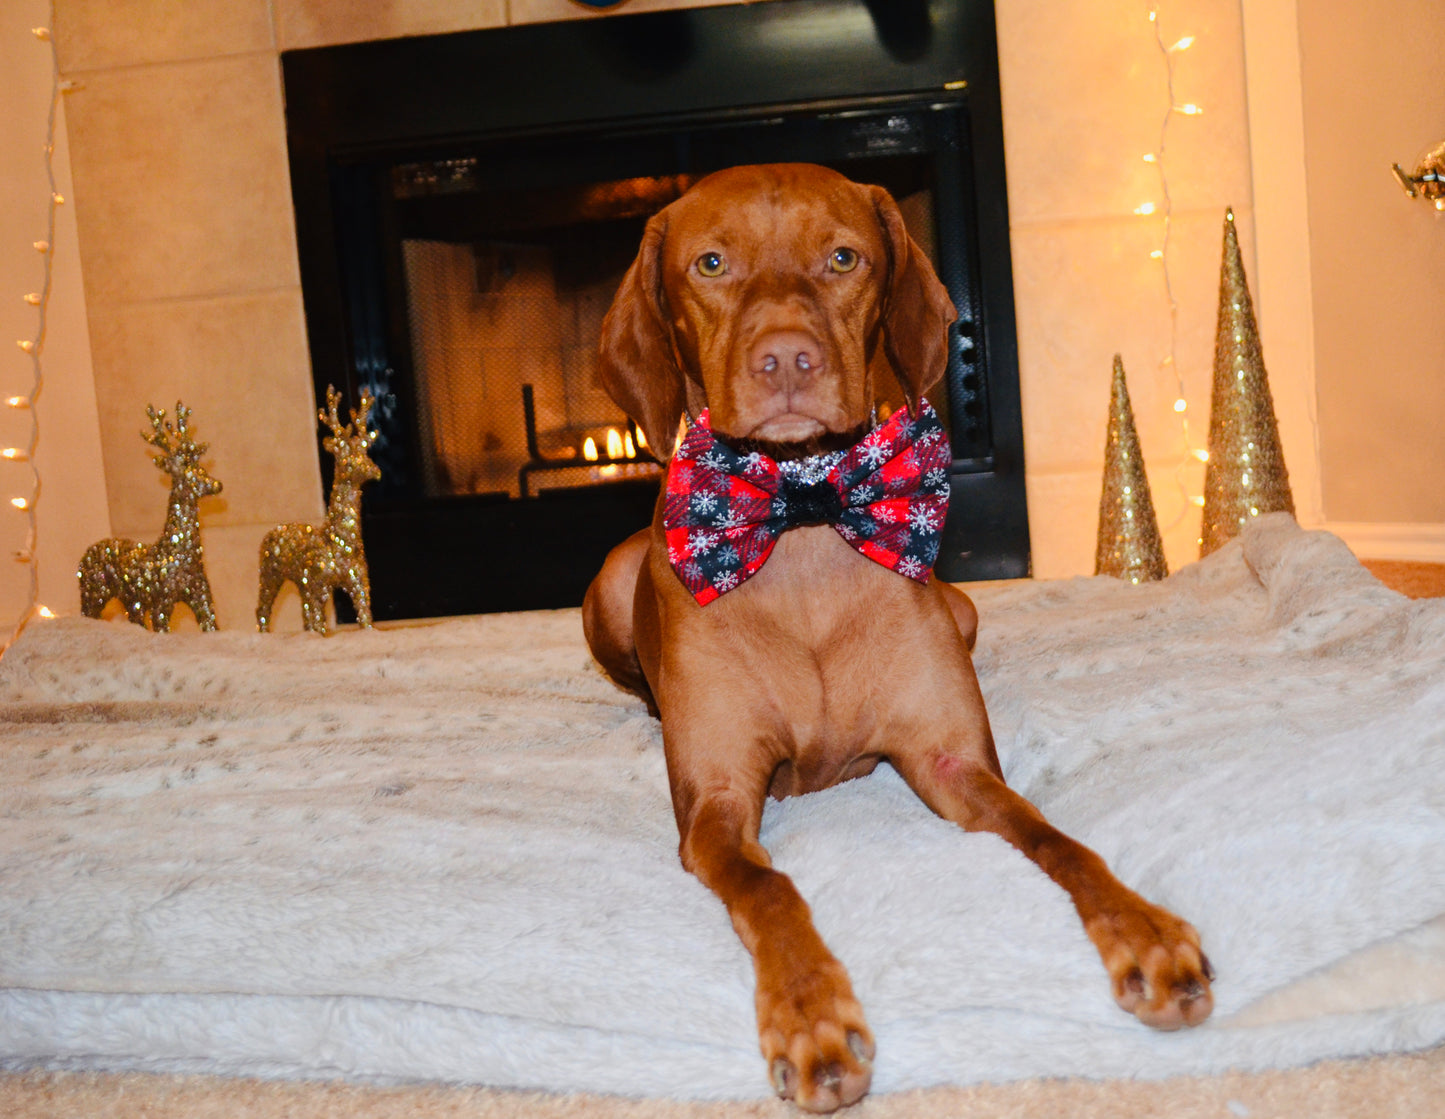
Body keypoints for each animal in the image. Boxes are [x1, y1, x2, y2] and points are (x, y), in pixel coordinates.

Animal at [580, 164, 1213, 1110]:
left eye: (843, 257)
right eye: (711, 264)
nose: (786, 360)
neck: (803, 517)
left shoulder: (954, 766)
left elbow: (1058, 840)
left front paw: (1143, 928)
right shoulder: (716, 804)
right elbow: (769, 887)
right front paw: (809, 1013)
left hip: (963, 609)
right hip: (610, 585)